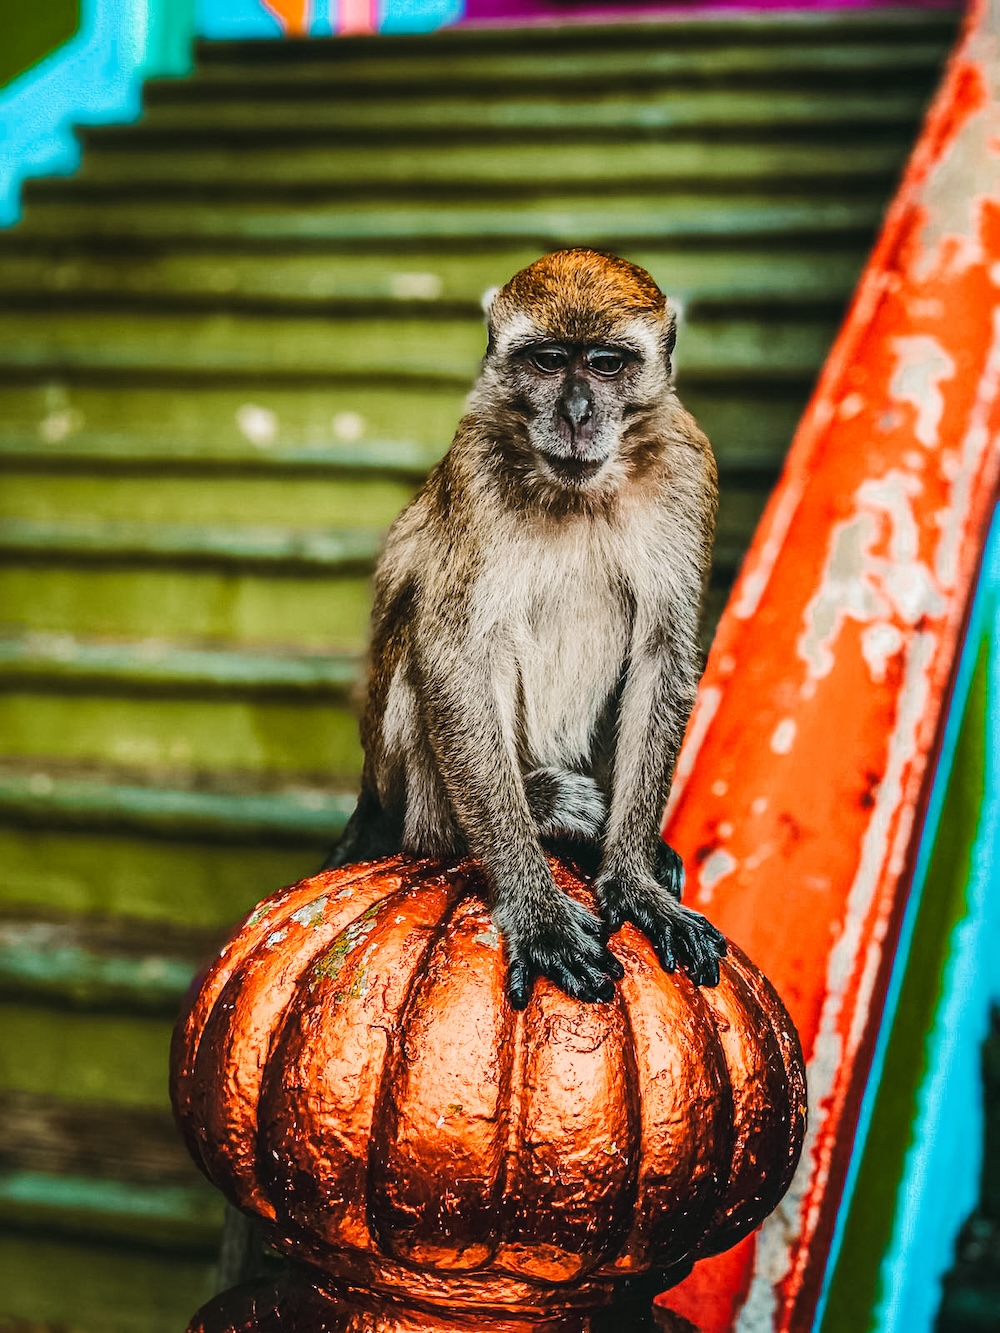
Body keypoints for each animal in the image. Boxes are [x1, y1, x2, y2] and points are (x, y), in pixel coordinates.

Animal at [329, 247, 730, 1007]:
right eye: (547, 360)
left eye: (605, 364)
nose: (575, 412)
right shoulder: (475, 467)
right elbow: (453, 655)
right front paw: (535, 908)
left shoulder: (689, 467)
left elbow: (660, 653)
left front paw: (633, 878)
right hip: (405, 784)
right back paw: (529, 809)